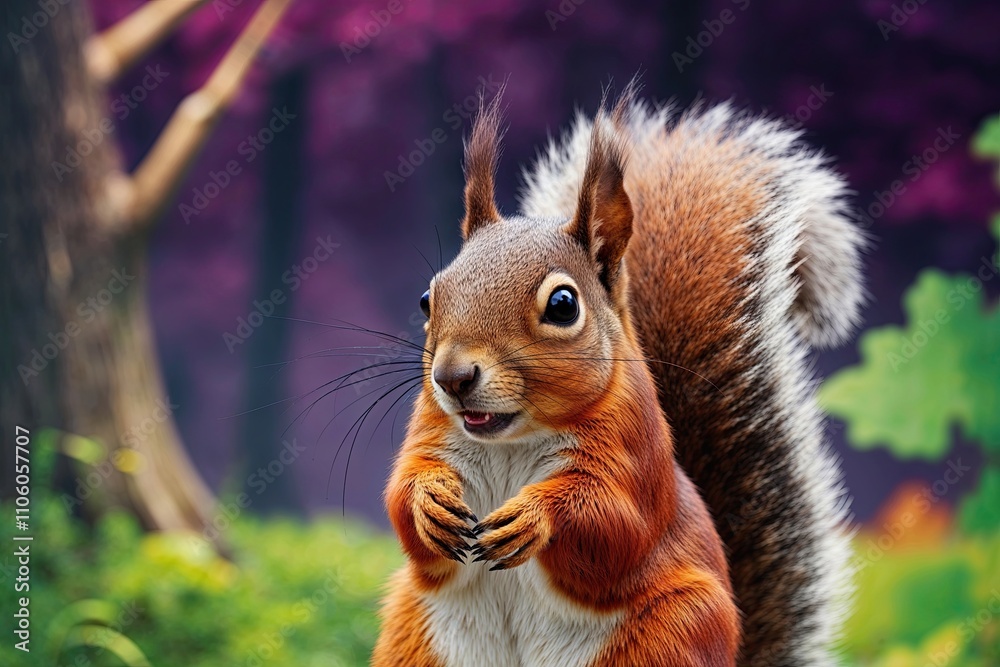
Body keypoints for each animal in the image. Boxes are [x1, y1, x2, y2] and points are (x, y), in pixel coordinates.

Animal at [371, 83, 864, 667]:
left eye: (563, 305)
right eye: (428, 297)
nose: (451, 377)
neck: (512, 440)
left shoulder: (637, 452)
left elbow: (616, 525)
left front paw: (537, 515)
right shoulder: (431, 433)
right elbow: (403, 495)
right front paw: (429, 501)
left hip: (671, 631)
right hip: (416, 634)